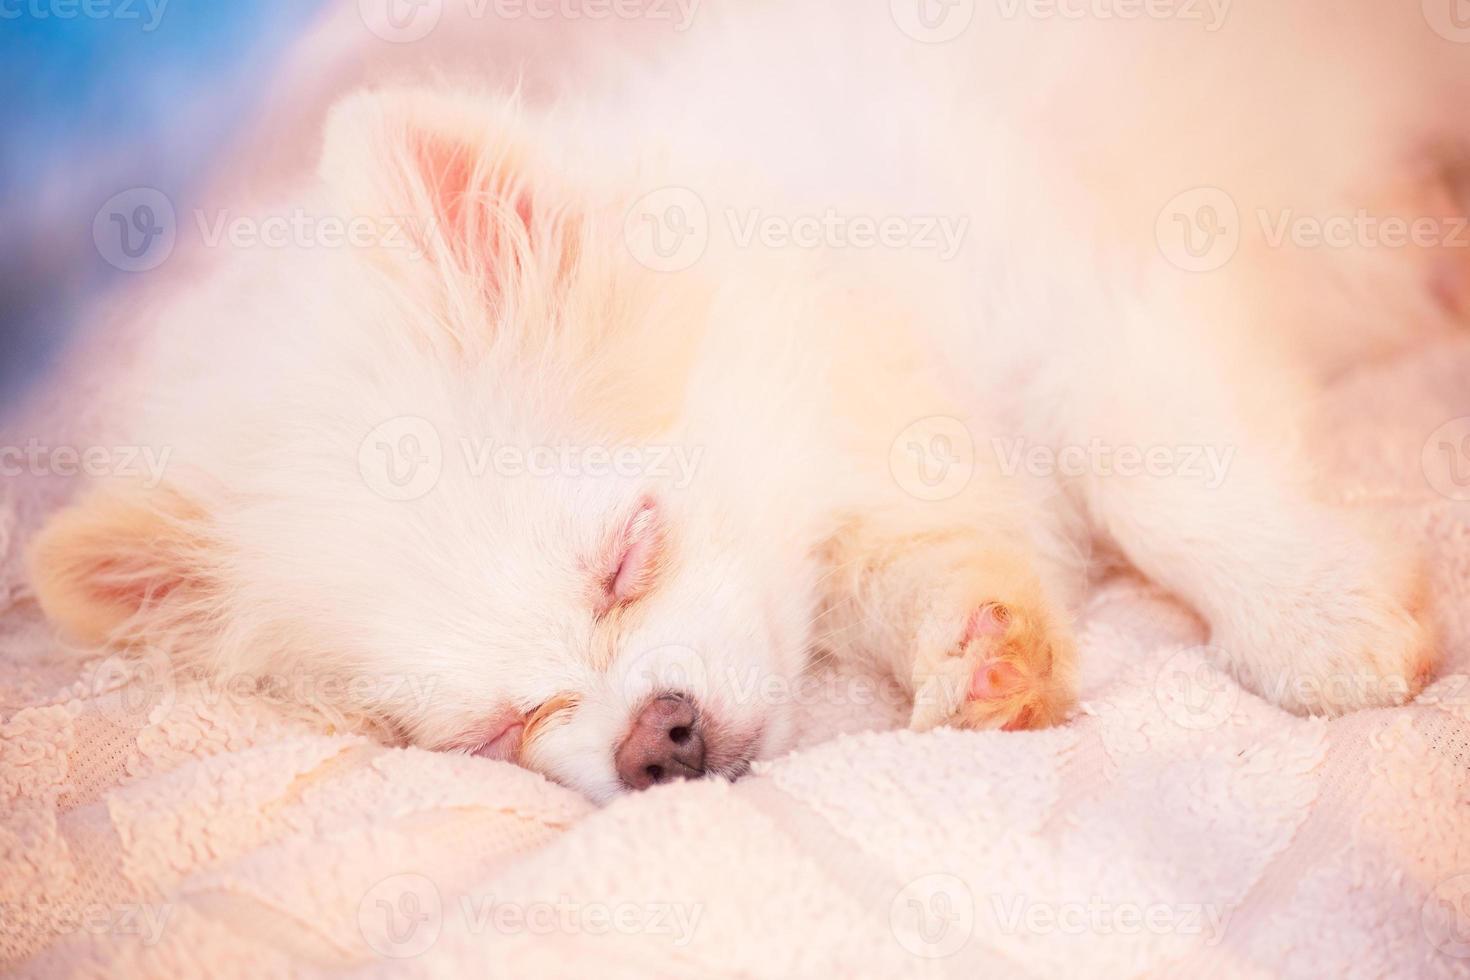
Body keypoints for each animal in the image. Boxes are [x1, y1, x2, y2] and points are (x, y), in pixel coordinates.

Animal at [28, 0, 1464, 799]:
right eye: (502, 727)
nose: (652, 737)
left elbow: (1153, 475)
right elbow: (922, 569)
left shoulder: (1082, 300)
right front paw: (981, 649)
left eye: (626, 557)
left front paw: (1311, 615)